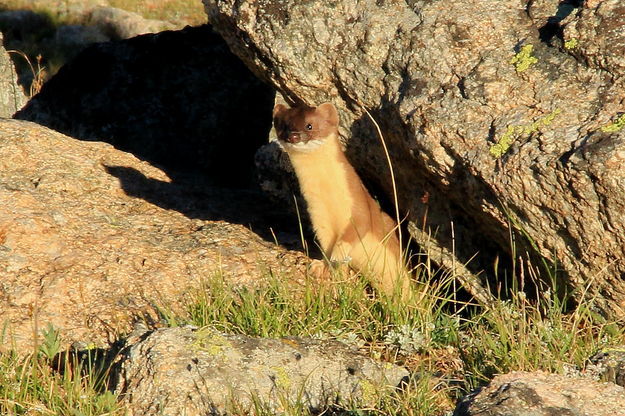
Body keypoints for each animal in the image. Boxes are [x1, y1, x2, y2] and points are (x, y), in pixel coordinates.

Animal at [272, 102, 410, 298]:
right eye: (284, 126)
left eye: (309, 125)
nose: (293, 136)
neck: (326, 193)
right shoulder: (317, 214)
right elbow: (325, 241)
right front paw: (321, 266)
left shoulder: (356, 200)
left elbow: (358, 226)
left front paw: (335, 258)